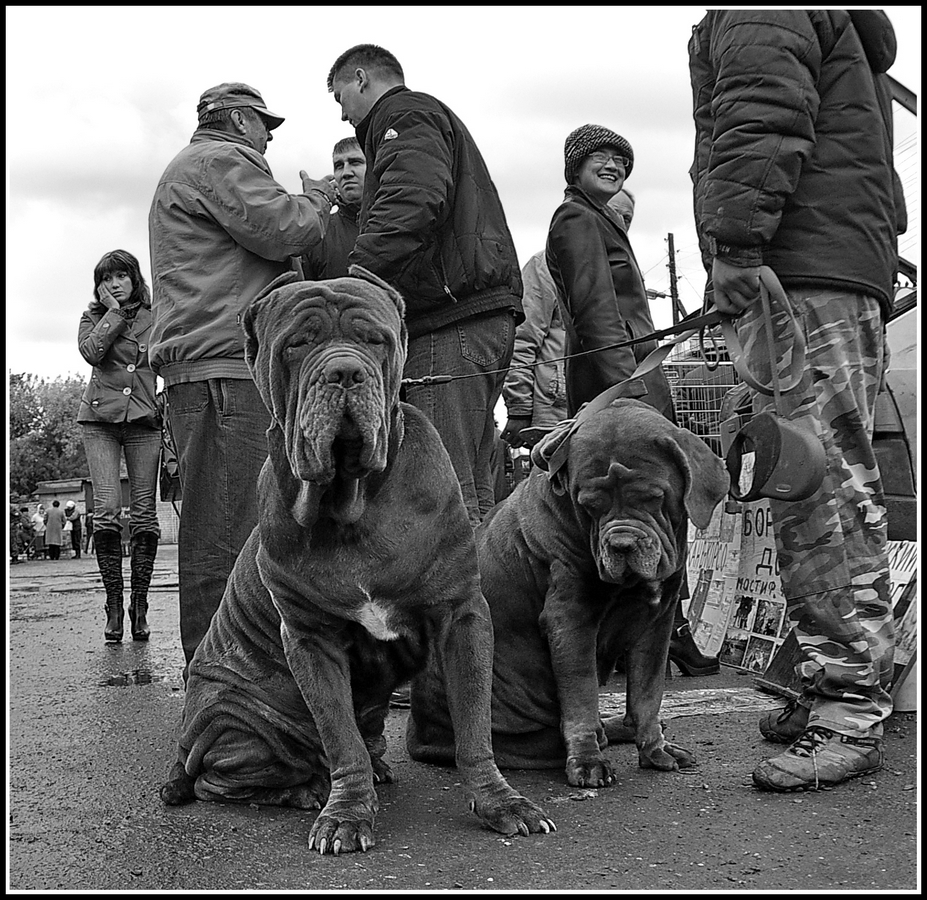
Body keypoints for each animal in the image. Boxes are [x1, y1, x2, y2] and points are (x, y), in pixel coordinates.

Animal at [160, 266, 556, 852]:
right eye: (297, 344)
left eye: (375, 340)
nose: (344, 372)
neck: (353, 502)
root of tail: (184, 743)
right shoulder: (310, 639)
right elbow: (338, 735)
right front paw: (345, 814)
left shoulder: (461, 616)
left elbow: (473, 725)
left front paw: (502, 803)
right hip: (236, 720)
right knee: (221, 779)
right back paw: (305, 789)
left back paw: (374, 769)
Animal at [410, 400, 728, 788]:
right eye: (590, 506)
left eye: (653, 497)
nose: (621, 544)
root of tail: (417, 737)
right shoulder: (571, 620)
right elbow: (582, 696)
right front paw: (588, 761)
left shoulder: (658, 620)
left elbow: (648, 694)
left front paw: (656, 749)